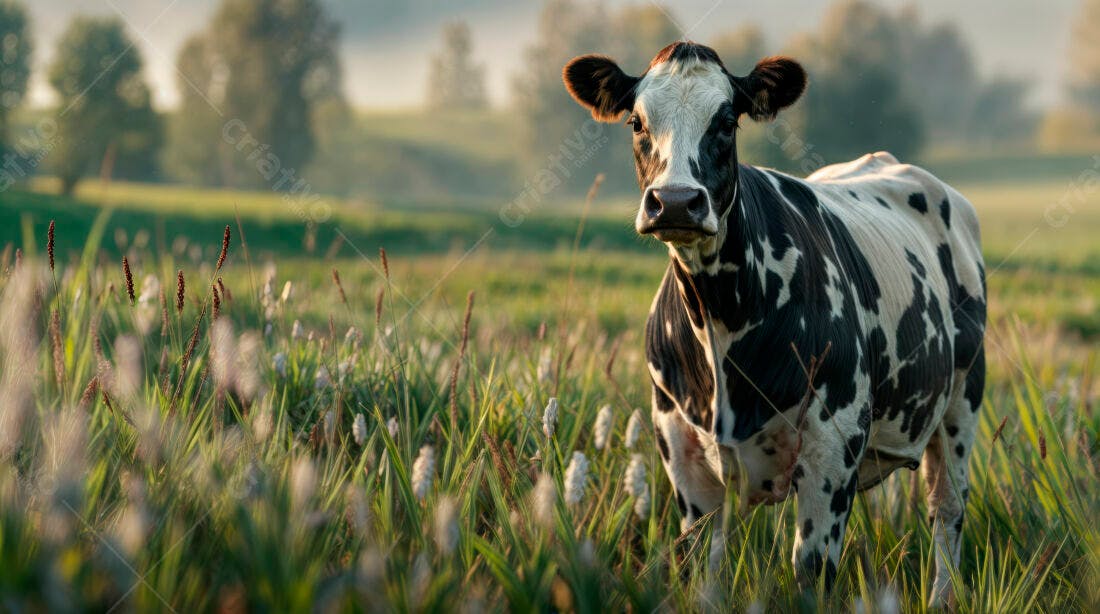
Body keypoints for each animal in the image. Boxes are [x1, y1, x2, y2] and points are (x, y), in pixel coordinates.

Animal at [562, 42, 986, 606]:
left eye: (726, 122)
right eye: (636, 121)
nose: (674, 201)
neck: (719, 317)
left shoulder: (833, 445)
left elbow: (811, 572)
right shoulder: (681, 450)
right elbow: (703, 572)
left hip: (962, 402)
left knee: (947, 510)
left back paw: (942, 595)